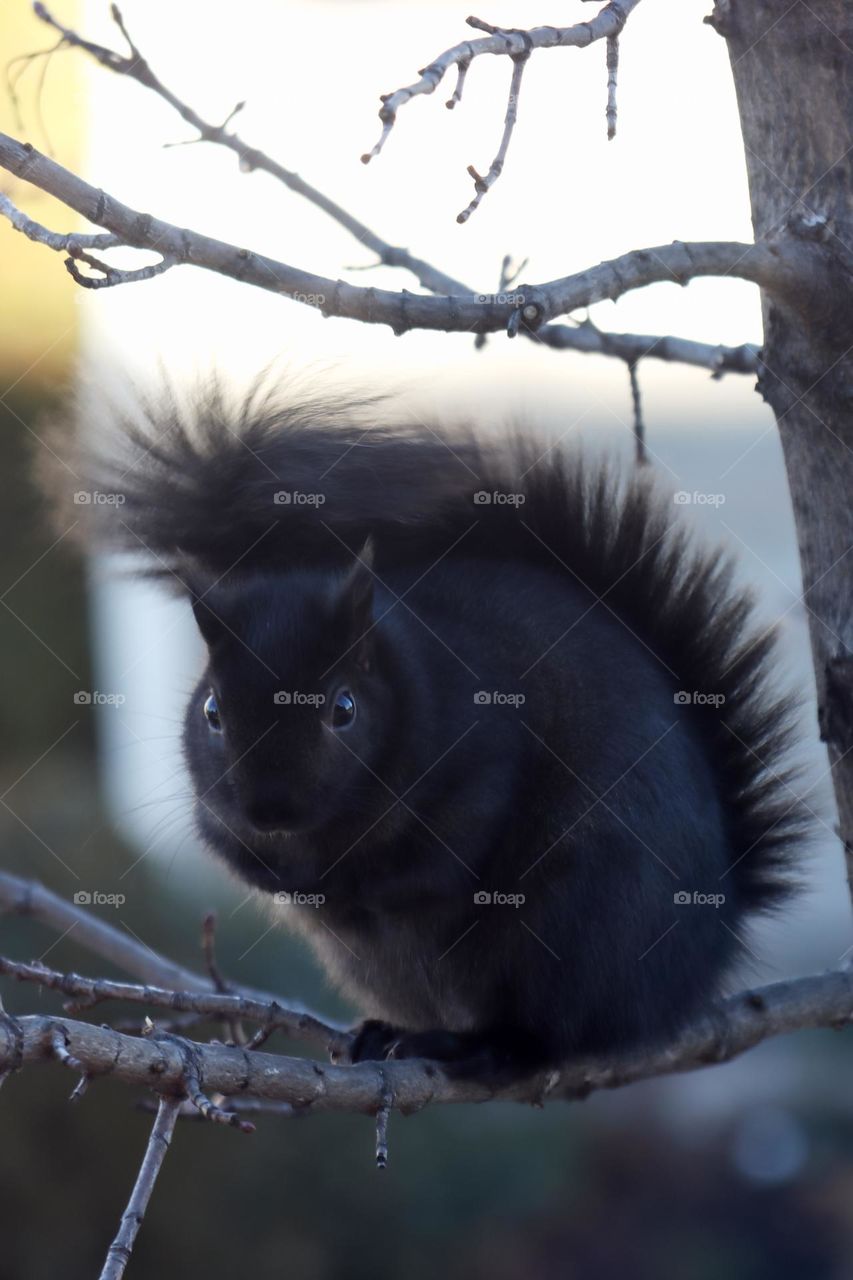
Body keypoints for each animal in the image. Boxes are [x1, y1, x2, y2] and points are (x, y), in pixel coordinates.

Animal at [66, 386, 804, 1080]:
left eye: (342, 708)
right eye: (212, 712)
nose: (270, 810)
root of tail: (707, 946)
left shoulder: (479, 767)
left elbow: (442, 858)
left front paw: (358, 891)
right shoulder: (215, 812)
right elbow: (231, 851)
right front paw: (299, 886)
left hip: (575, 928)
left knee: (549, 1035)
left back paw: (475, 1046)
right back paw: (385, 1032)